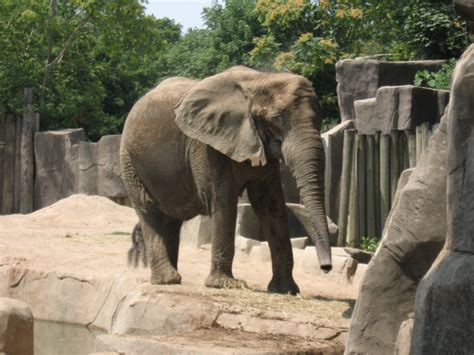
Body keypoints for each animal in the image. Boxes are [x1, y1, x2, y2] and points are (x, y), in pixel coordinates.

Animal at [120, 66, 332, 294]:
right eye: (276, 120)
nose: (326, 267)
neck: (261, 78)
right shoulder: (208, 147)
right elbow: (224, 202)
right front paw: (226, 285)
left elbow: (271, 206)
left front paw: (285, 290)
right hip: (130, 161)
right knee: (149, 210)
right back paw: (167, 280)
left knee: (171, 220)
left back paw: (173, 278)